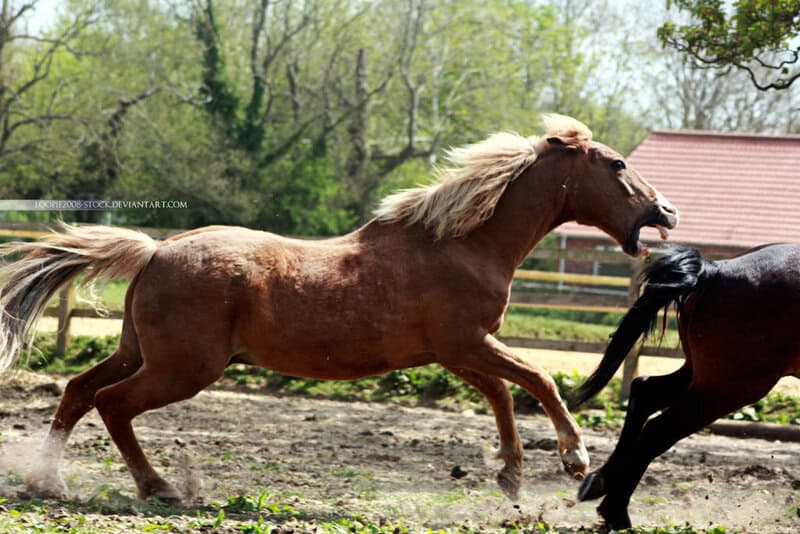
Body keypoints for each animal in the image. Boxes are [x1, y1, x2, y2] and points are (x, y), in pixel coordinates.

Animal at [0, 114, 677, 505]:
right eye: (617, 164)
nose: (666, 211)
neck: (463, 243)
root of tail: (155, 250)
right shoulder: (466, 342)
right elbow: (536, 380)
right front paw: (573, 458)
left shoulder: (453, 352)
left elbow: (502, 394)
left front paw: (509, 475)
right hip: (183, 369)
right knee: (111, 403)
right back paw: (161, 487)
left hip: (138, 351)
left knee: (78, 390)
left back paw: (48, 482)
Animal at [571, 245, 800, 530]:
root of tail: (717, 270)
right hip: (729, 387)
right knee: (657, 430)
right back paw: (615, 511)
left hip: (700, 375)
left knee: (645, 391)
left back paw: (599, 483)